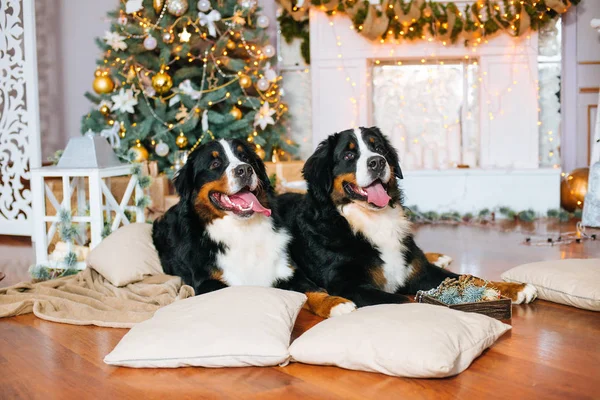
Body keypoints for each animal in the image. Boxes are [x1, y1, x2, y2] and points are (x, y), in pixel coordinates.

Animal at [154, 140, 356, 318]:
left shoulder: (286, 270)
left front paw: (336, 303)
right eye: (215, 163)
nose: (244, 169)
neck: (243, 230)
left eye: (246, 158)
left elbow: (312, 289)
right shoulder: (207, 283)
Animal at [278, 126, 540, 308]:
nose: (377, 162)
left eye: (379, 148)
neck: (371, 221)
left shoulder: (422, 272)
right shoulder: (348, 285)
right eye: (349, 156)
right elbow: (411, 302)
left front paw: (514, 287)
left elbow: (473, 277)